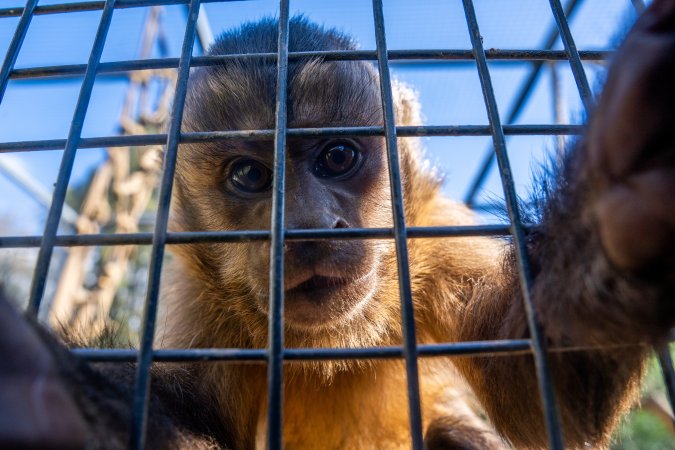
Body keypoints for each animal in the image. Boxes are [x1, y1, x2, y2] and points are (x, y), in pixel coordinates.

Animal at [0, 0, 673, 449]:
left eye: (339, 157)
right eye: (249, 175)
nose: (310, 225)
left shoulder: (434, 236)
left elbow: (554, 392)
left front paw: (617, 194)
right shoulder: (196, 291)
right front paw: (51, 397)